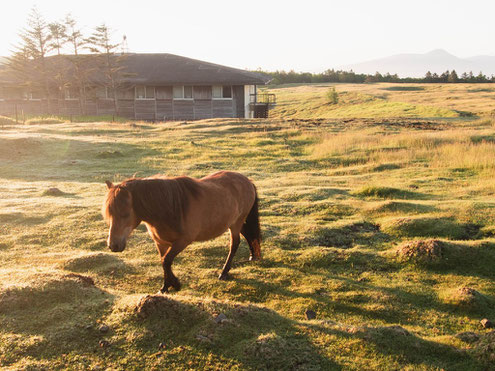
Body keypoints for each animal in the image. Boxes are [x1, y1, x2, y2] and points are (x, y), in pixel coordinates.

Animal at [102, 171, 262, 294]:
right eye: (109, 214)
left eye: (125, 214)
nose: (113, 245)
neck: (168, 209)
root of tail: (247, 180)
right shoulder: (160, 243)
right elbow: (164, 261)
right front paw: (165, 287)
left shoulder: (182, 241)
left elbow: (166, 261)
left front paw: (176, 284)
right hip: (236, 222)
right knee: (249, 235)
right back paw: (253, 256)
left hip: (236, 223)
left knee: (234, 244)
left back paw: (224, 272)